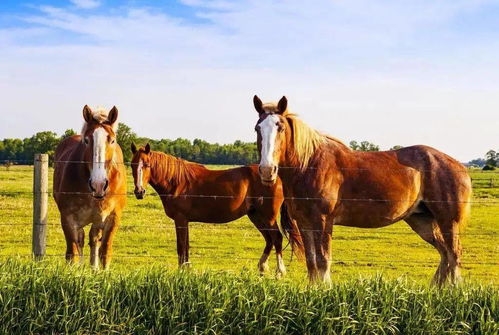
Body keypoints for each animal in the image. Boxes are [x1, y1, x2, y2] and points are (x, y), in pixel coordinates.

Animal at [52, 106, 126, 270]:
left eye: (112, 140)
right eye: (86, 140)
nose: (98, 184)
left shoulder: (113, 217)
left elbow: (105, 251)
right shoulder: (68, 218)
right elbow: (72, 252)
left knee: (94, 239)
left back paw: (94, 269)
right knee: (81, 240)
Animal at [129, 144, 302, 276]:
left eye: (147, 164)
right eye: (132, 164)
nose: (139, 191)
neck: (176, 182)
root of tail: (276, 177)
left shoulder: (180, 219)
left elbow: (181, 246)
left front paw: (182, 271)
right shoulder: (184, 221)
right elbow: (186, 246)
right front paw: (187, 270)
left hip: (268, 215)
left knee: (277, 238)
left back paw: (279, 272)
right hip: (256, 216)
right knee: (269, 239)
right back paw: (262, 267)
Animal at [252, 95, 474, 286]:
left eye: (280, 127)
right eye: (257, 128)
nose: (267, 170)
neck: (309, 165)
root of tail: (459, 166)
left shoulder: (323, 221)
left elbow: (323, 260)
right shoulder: (305, 222)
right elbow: (311, 261)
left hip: (448, 221)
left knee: (454, 253)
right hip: (422, 221)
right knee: (445, 253)